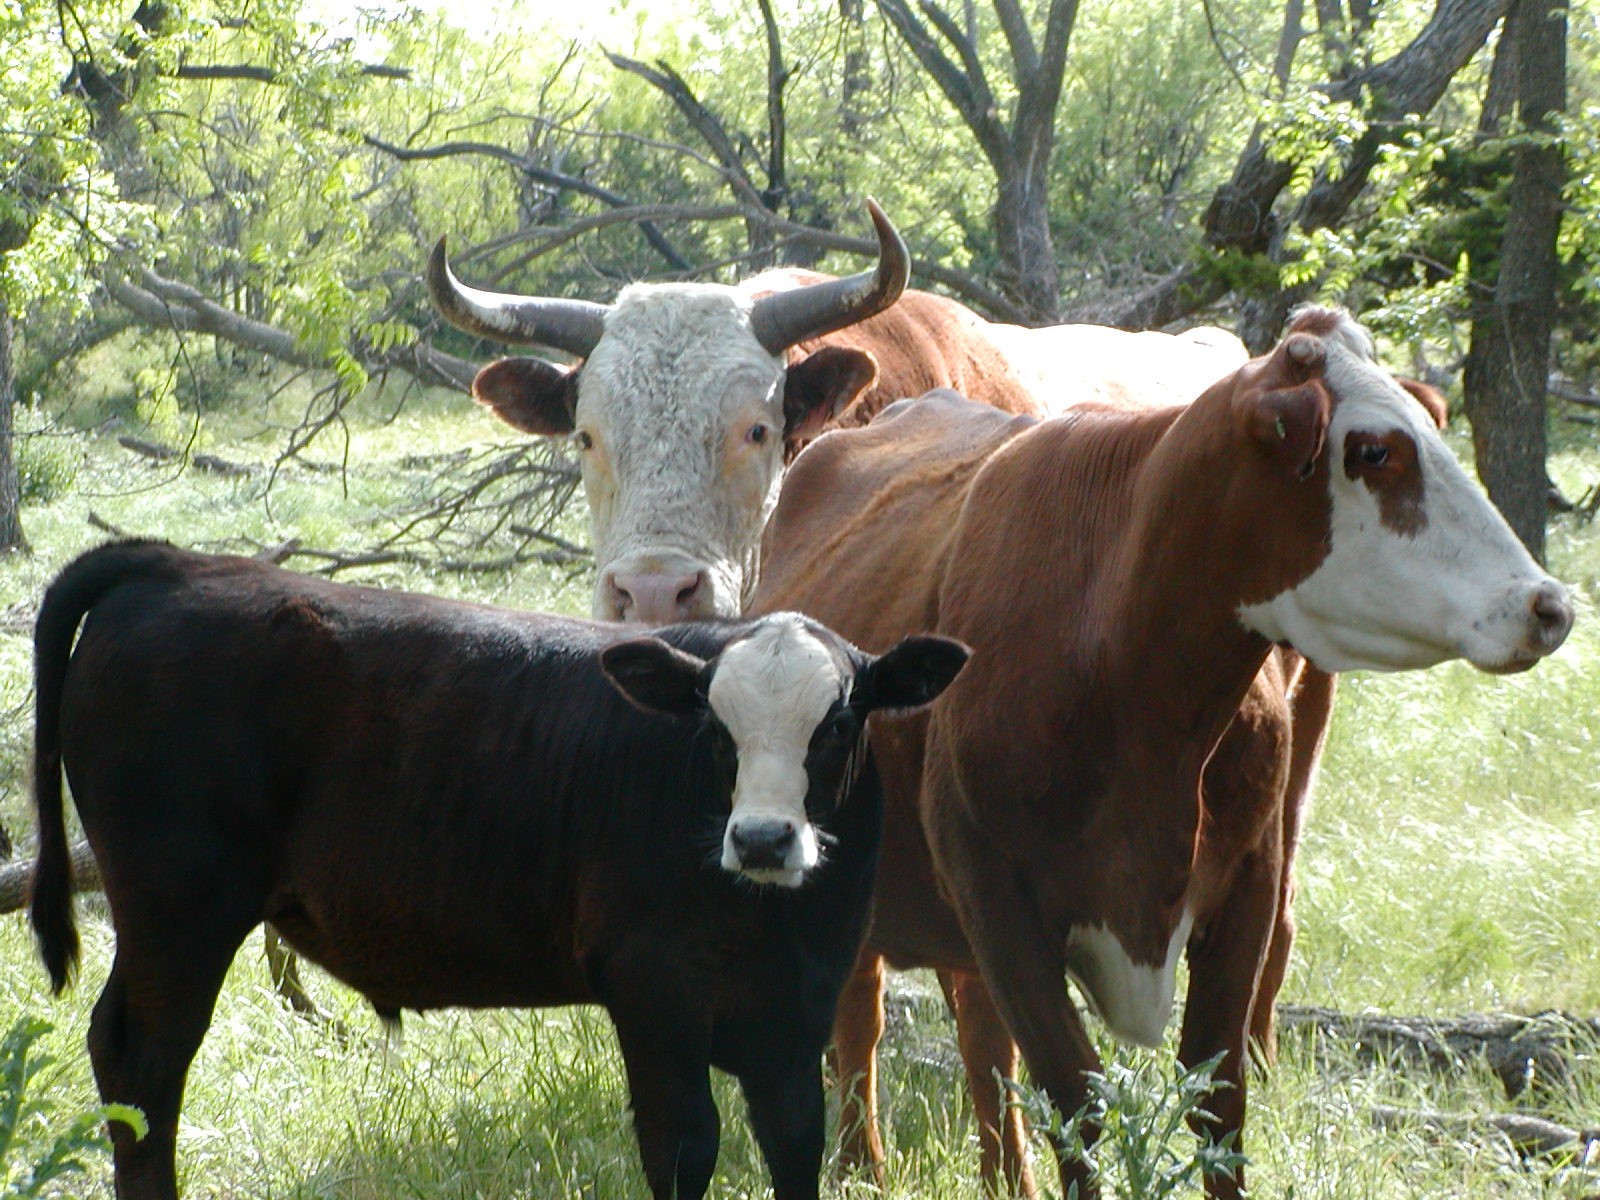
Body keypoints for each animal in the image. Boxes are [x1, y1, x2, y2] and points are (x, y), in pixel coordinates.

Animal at [31, 544, 966, 1200]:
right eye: (713, 727)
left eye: (838, 724)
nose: (765, 839)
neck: (764, 916)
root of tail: (175, 564)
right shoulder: (654, 991)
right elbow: (682, 1145)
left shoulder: (797, 1012)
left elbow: (797, 1144)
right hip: (178, 911)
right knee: (144, 1069)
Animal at [748, 312, 1574, 1200]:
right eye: (1375, 451)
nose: (1547, 605)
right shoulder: (1000, 903)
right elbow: (1075, 1100)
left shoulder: (1246, 884)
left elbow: (1218, 1103)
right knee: (862, 1018)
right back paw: (857, 1164)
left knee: (968, 1037)